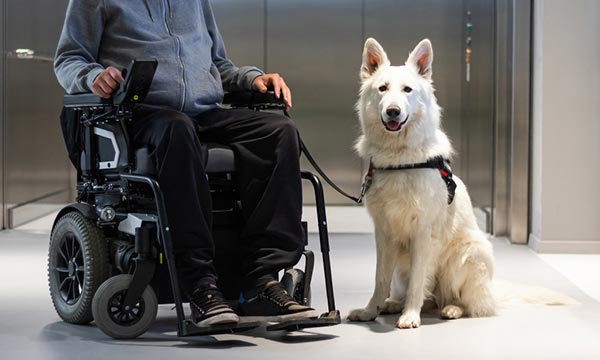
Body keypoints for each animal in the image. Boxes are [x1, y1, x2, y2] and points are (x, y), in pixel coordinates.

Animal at [346, 38, 496, 330]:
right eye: (382, 88)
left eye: (407, 89)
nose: (393, 111)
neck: (401, 159)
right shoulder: (383, 234)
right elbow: (380, 279)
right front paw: (370, 311)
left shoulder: (423, 233)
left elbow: (418, 280)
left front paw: (410, 316)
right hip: (401, 264)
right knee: (424, 295)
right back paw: (393, 304)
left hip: (466, 254)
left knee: (463, 301)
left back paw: (451, 308)